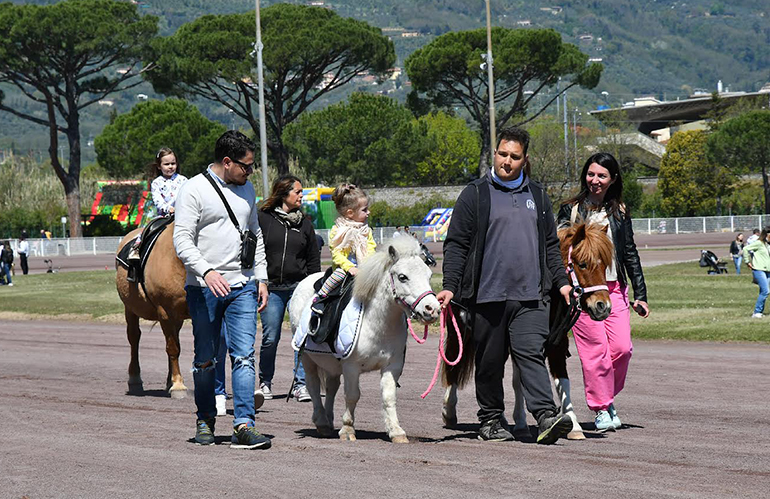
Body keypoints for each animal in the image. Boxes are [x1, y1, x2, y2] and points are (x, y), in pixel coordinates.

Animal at [116, 225, 190, 400]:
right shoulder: (165, 312)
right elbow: (173, 348)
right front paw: (178, 385)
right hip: (130, 309)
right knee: (134, 338)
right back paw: (135, 379)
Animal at [288, 236, 438, 444]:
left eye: (429, 275)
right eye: (402, 277)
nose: (432, 309)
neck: (376, 323)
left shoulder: (392, 366)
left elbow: (388, 397)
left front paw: (396, 431)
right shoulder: (351, 366)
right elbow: (352, 396)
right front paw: (348, 429)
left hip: (332, 364)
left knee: (331, 388)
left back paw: (329, 420)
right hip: (308, 359)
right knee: (313, 386)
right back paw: (322, 422)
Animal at [440, 221, 608, 440]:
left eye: (605, 266)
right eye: (582, 264)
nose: (603, 306)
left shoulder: (555, 344)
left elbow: (560, 381)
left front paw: (572, 425)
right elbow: (515, 380)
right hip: (458, 331)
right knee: (454, 364)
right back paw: (449, 412)